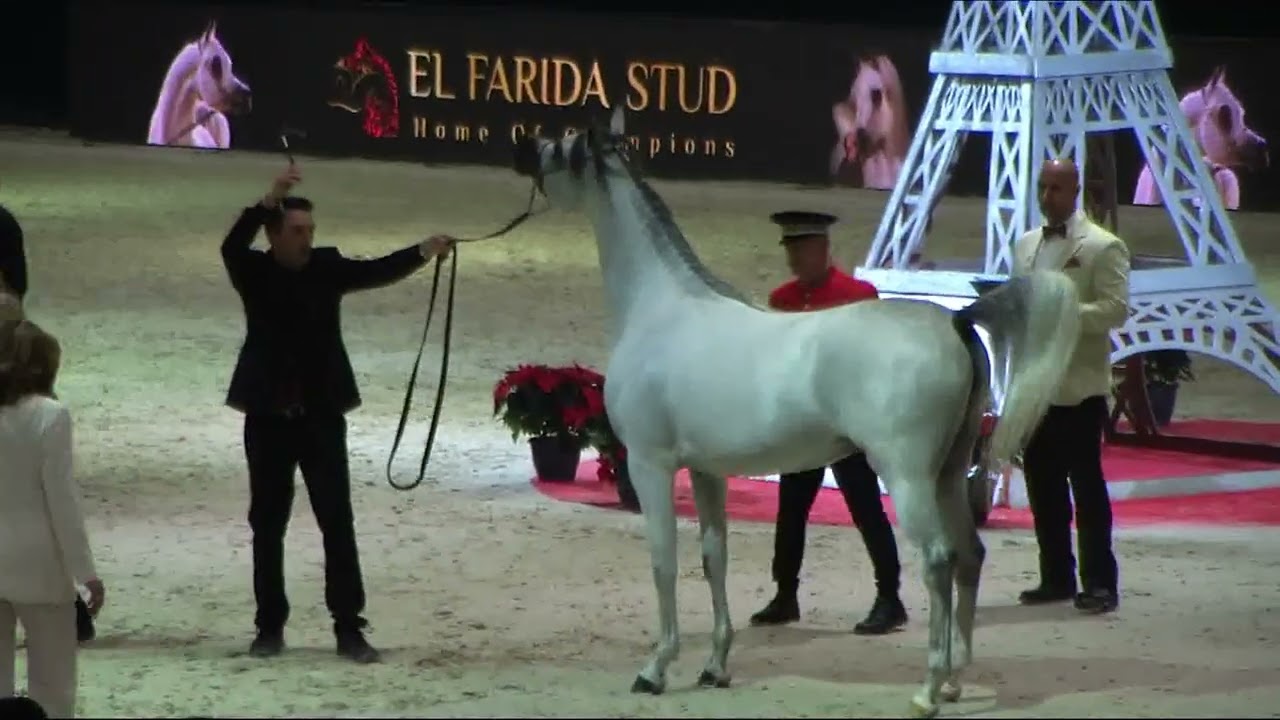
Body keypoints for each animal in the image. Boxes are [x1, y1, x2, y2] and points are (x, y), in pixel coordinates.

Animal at [512, 106, 1082, 718]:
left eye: (564, 145)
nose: (522, 149)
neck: (660, 310)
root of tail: (954, 320)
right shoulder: (707, 471)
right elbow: (714, 557)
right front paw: (715, 666)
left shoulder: (649, 464)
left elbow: (663, 561)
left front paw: (656, 669)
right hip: (950, 472)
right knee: (970, 554)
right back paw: (954, 681)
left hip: (906, 475)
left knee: (938, 561)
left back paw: (928, 690)